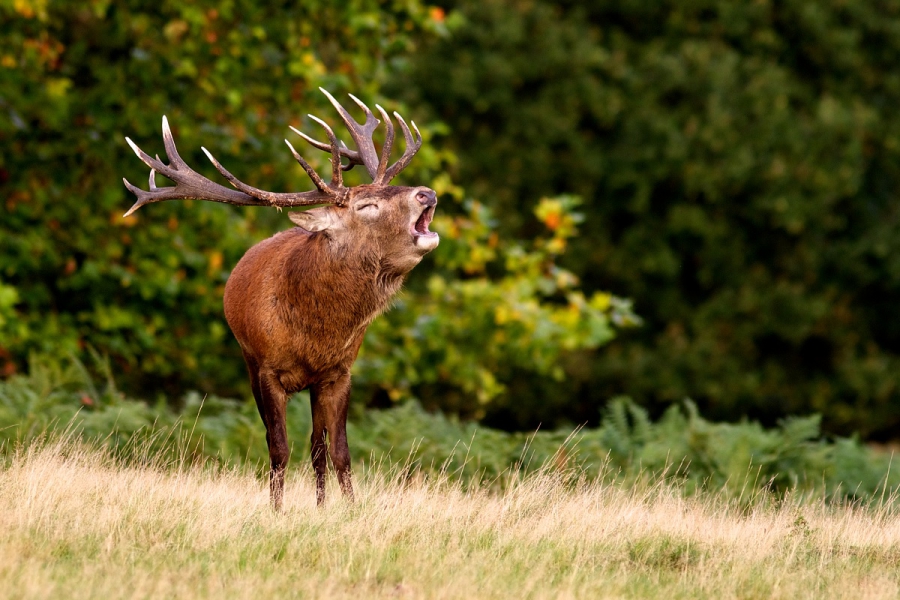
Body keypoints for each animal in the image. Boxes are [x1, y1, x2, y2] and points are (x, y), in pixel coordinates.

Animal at [122, 89, 439, 509]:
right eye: (366, 205)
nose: (426, 192)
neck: (316, 334)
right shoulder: (268, 369)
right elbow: (279, 448)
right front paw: (277, 511)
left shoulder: (340, 372)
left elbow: (338, 451)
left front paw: (350, 509)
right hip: (248, 362)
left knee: (317, 448)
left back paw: (321, 506)